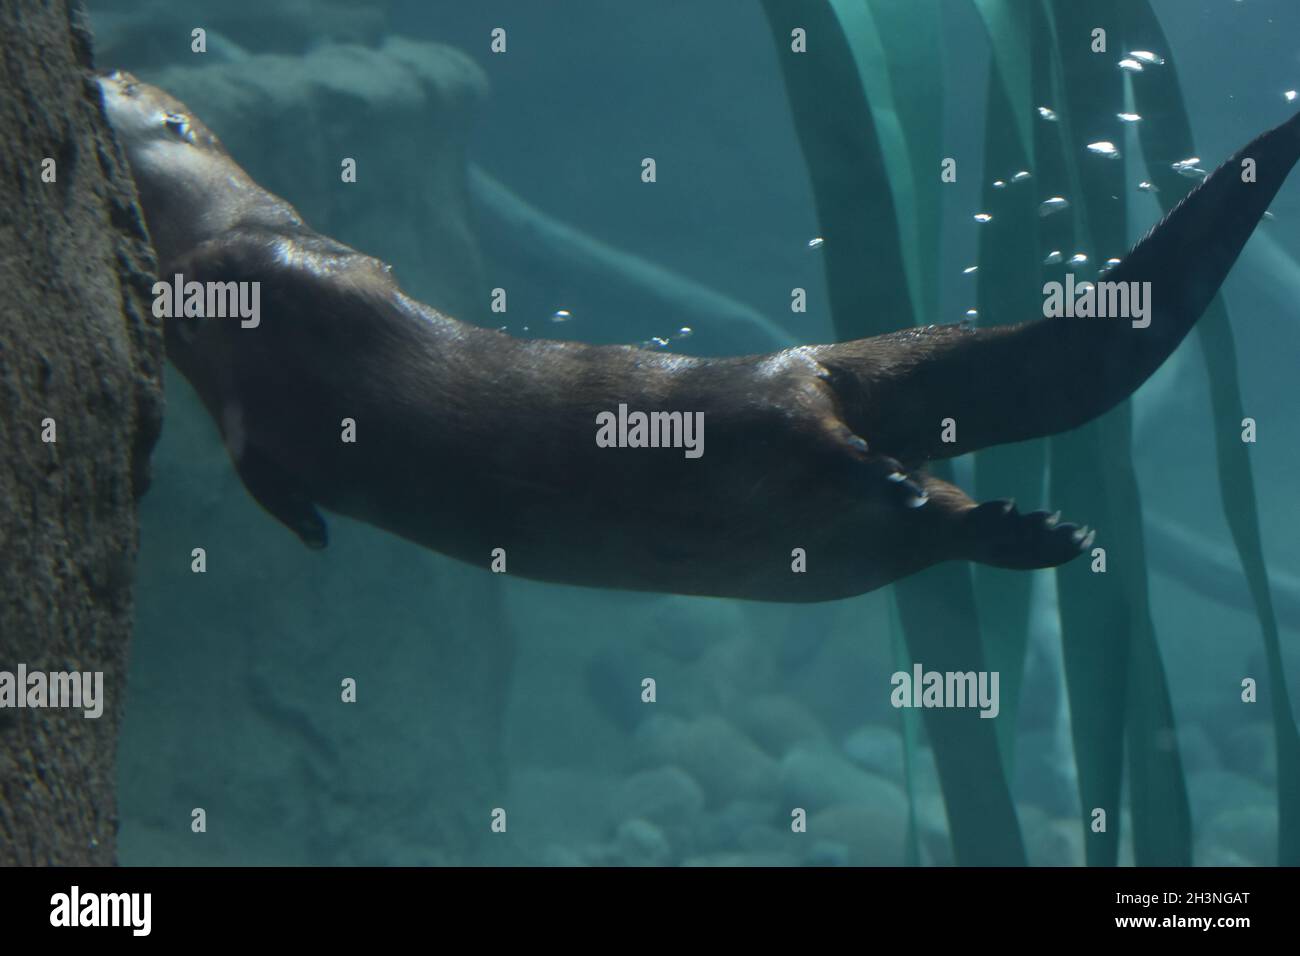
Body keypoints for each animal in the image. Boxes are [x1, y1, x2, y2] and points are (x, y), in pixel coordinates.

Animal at [96, 70, 1299, 603]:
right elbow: (260, 462)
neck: (223, 214)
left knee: (844, 447)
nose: (101, 60)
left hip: (759, 408)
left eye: (123, 83)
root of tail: (810, 356)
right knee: (924, 511)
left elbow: (293, 274)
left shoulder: (294, 251)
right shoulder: (235, 406)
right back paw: (1029, 531)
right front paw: (304, 526)